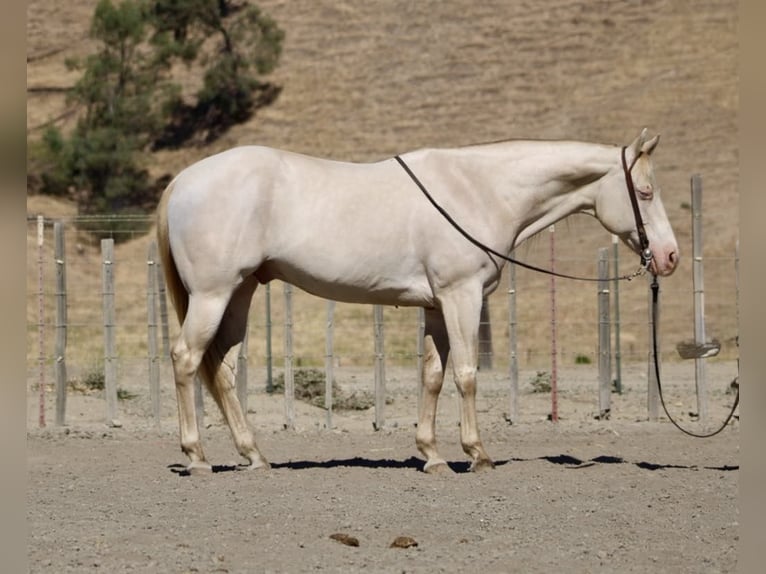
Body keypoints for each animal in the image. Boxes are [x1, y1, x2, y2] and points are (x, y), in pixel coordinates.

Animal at [156, 128, 678, 474]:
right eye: (646, 192)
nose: (669, 256)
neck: (479, 190)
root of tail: (182, 181)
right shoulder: (461, 296)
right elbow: (465, 375)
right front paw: (477, 454)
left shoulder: (435, 306)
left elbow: (433, 376)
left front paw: (432, 455)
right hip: (213, 294)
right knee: (186, 359)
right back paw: (196, 456)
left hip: (240, 292)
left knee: (221, 368)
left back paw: (254, 455)